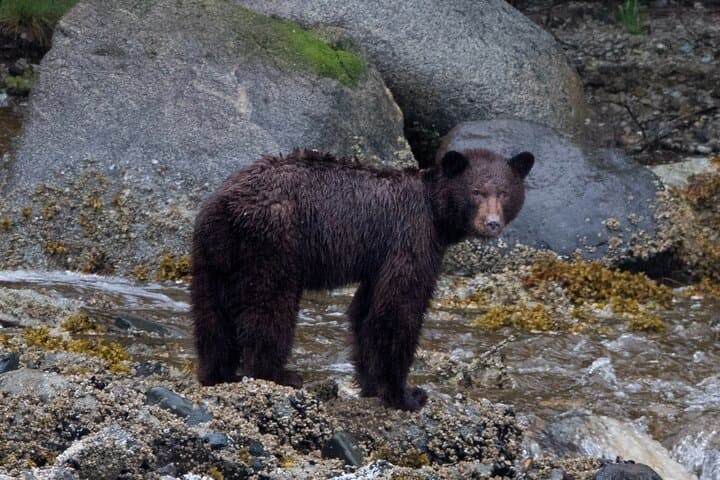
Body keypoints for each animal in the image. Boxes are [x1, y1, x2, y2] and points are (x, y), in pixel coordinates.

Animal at [190, 148, 533, 411]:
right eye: (476, 192)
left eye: (504, 192)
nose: (492, 223)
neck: (436, 214)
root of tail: (227, 204)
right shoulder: (410, 238)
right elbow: (399, 308)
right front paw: (405, 394)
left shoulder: (378, 259)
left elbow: (366, 311)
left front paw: (370, 383)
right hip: (274, 241)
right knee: (270, 306)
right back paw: (278, 374)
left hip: (214, 251)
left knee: (211, 312)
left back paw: (218, 372)